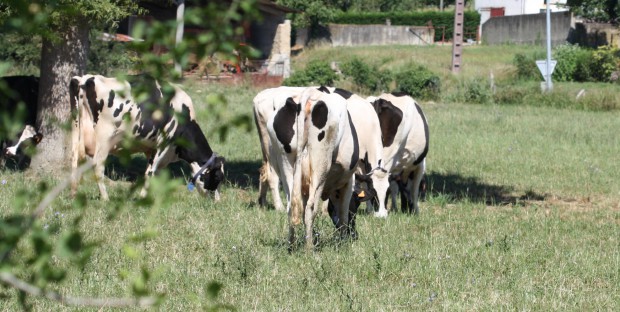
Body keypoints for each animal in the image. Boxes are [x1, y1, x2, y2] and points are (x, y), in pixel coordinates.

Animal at [70, 73, 225, 200]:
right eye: (218, 176)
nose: (217, 201)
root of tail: (86, 78)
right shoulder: (164, 143)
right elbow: (150, 173)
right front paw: (142, 198)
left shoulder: (150, 148)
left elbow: (154, 174)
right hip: (105, 138)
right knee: (97, 166)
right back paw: (105, 198)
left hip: (75, 133)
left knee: (74, 162)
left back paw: (74, 195)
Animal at [284, 87, 360, 249]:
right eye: (356, 207)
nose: (355, 235)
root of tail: (313, 93)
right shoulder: (347, 182)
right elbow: (343, 214)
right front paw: (344, 243)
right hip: (320, 167)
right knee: (310, 208)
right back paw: (309, 248)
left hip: (292, 167)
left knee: (292, 207)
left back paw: (291, 246)